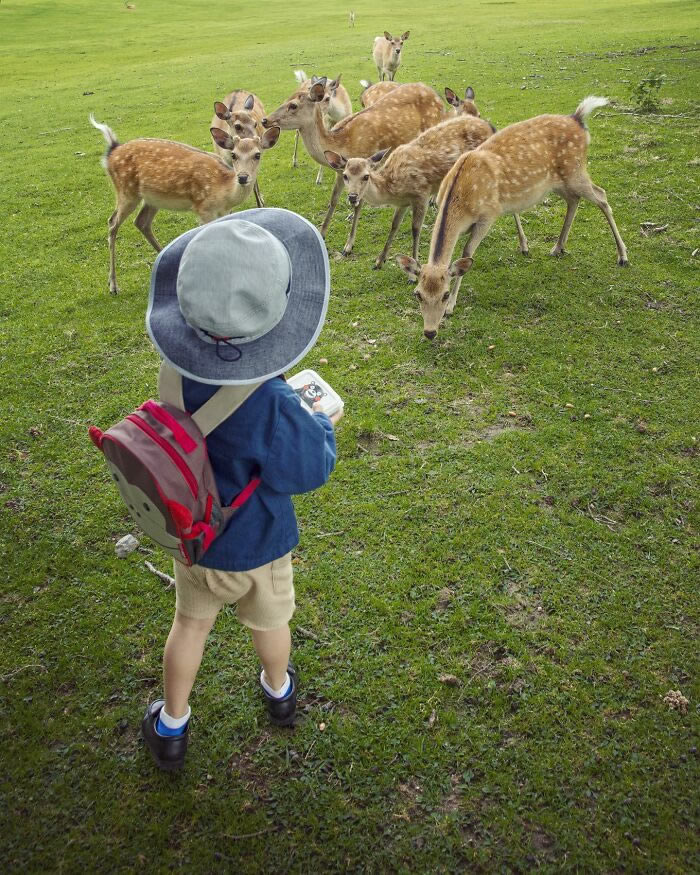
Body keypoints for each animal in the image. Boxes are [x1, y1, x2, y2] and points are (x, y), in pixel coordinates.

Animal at [89, 116, 278, 296]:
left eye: (257, 155)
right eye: (234, 155)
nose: (243, 177)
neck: (224, 191)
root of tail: (111, 151)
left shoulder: (223, 212)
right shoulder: (203, 207)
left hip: (152, 198)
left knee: (141, 222)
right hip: (126, 191)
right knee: (112, 223)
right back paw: (113, 285)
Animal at [260, 78, 446, 241]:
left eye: (293, 105)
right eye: (286, 99)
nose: (265, 120)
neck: (342, 144)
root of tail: (439, 98)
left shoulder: (365, 167)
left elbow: (358, 205)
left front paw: (348, 245)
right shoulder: (341, 172)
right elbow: (333, 200)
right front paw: (322, 233)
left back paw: (432, 201)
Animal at [326, 116, 528, 266]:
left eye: (366, 176)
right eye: (345, 176)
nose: (352, 197)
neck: (393, 187)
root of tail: (490, 126)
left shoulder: (421, 194)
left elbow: (415, 229)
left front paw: (414, 265)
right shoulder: (403, 203)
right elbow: (394, 226)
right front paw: (379, 260)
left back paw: (524, 246)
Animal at [396, 96, 632, 338]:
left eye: (443, 294)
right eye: (418, 294)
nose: (430, 331)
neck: (462, 200)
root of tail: (578, 119)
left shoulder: (488, 216)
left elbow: (466, 253)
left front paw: (452, 306)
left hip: (576, 171)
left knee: (602, 196)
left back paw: (622, 256)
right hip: (559, 181)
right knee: (574, 200)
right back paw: (558, 247)